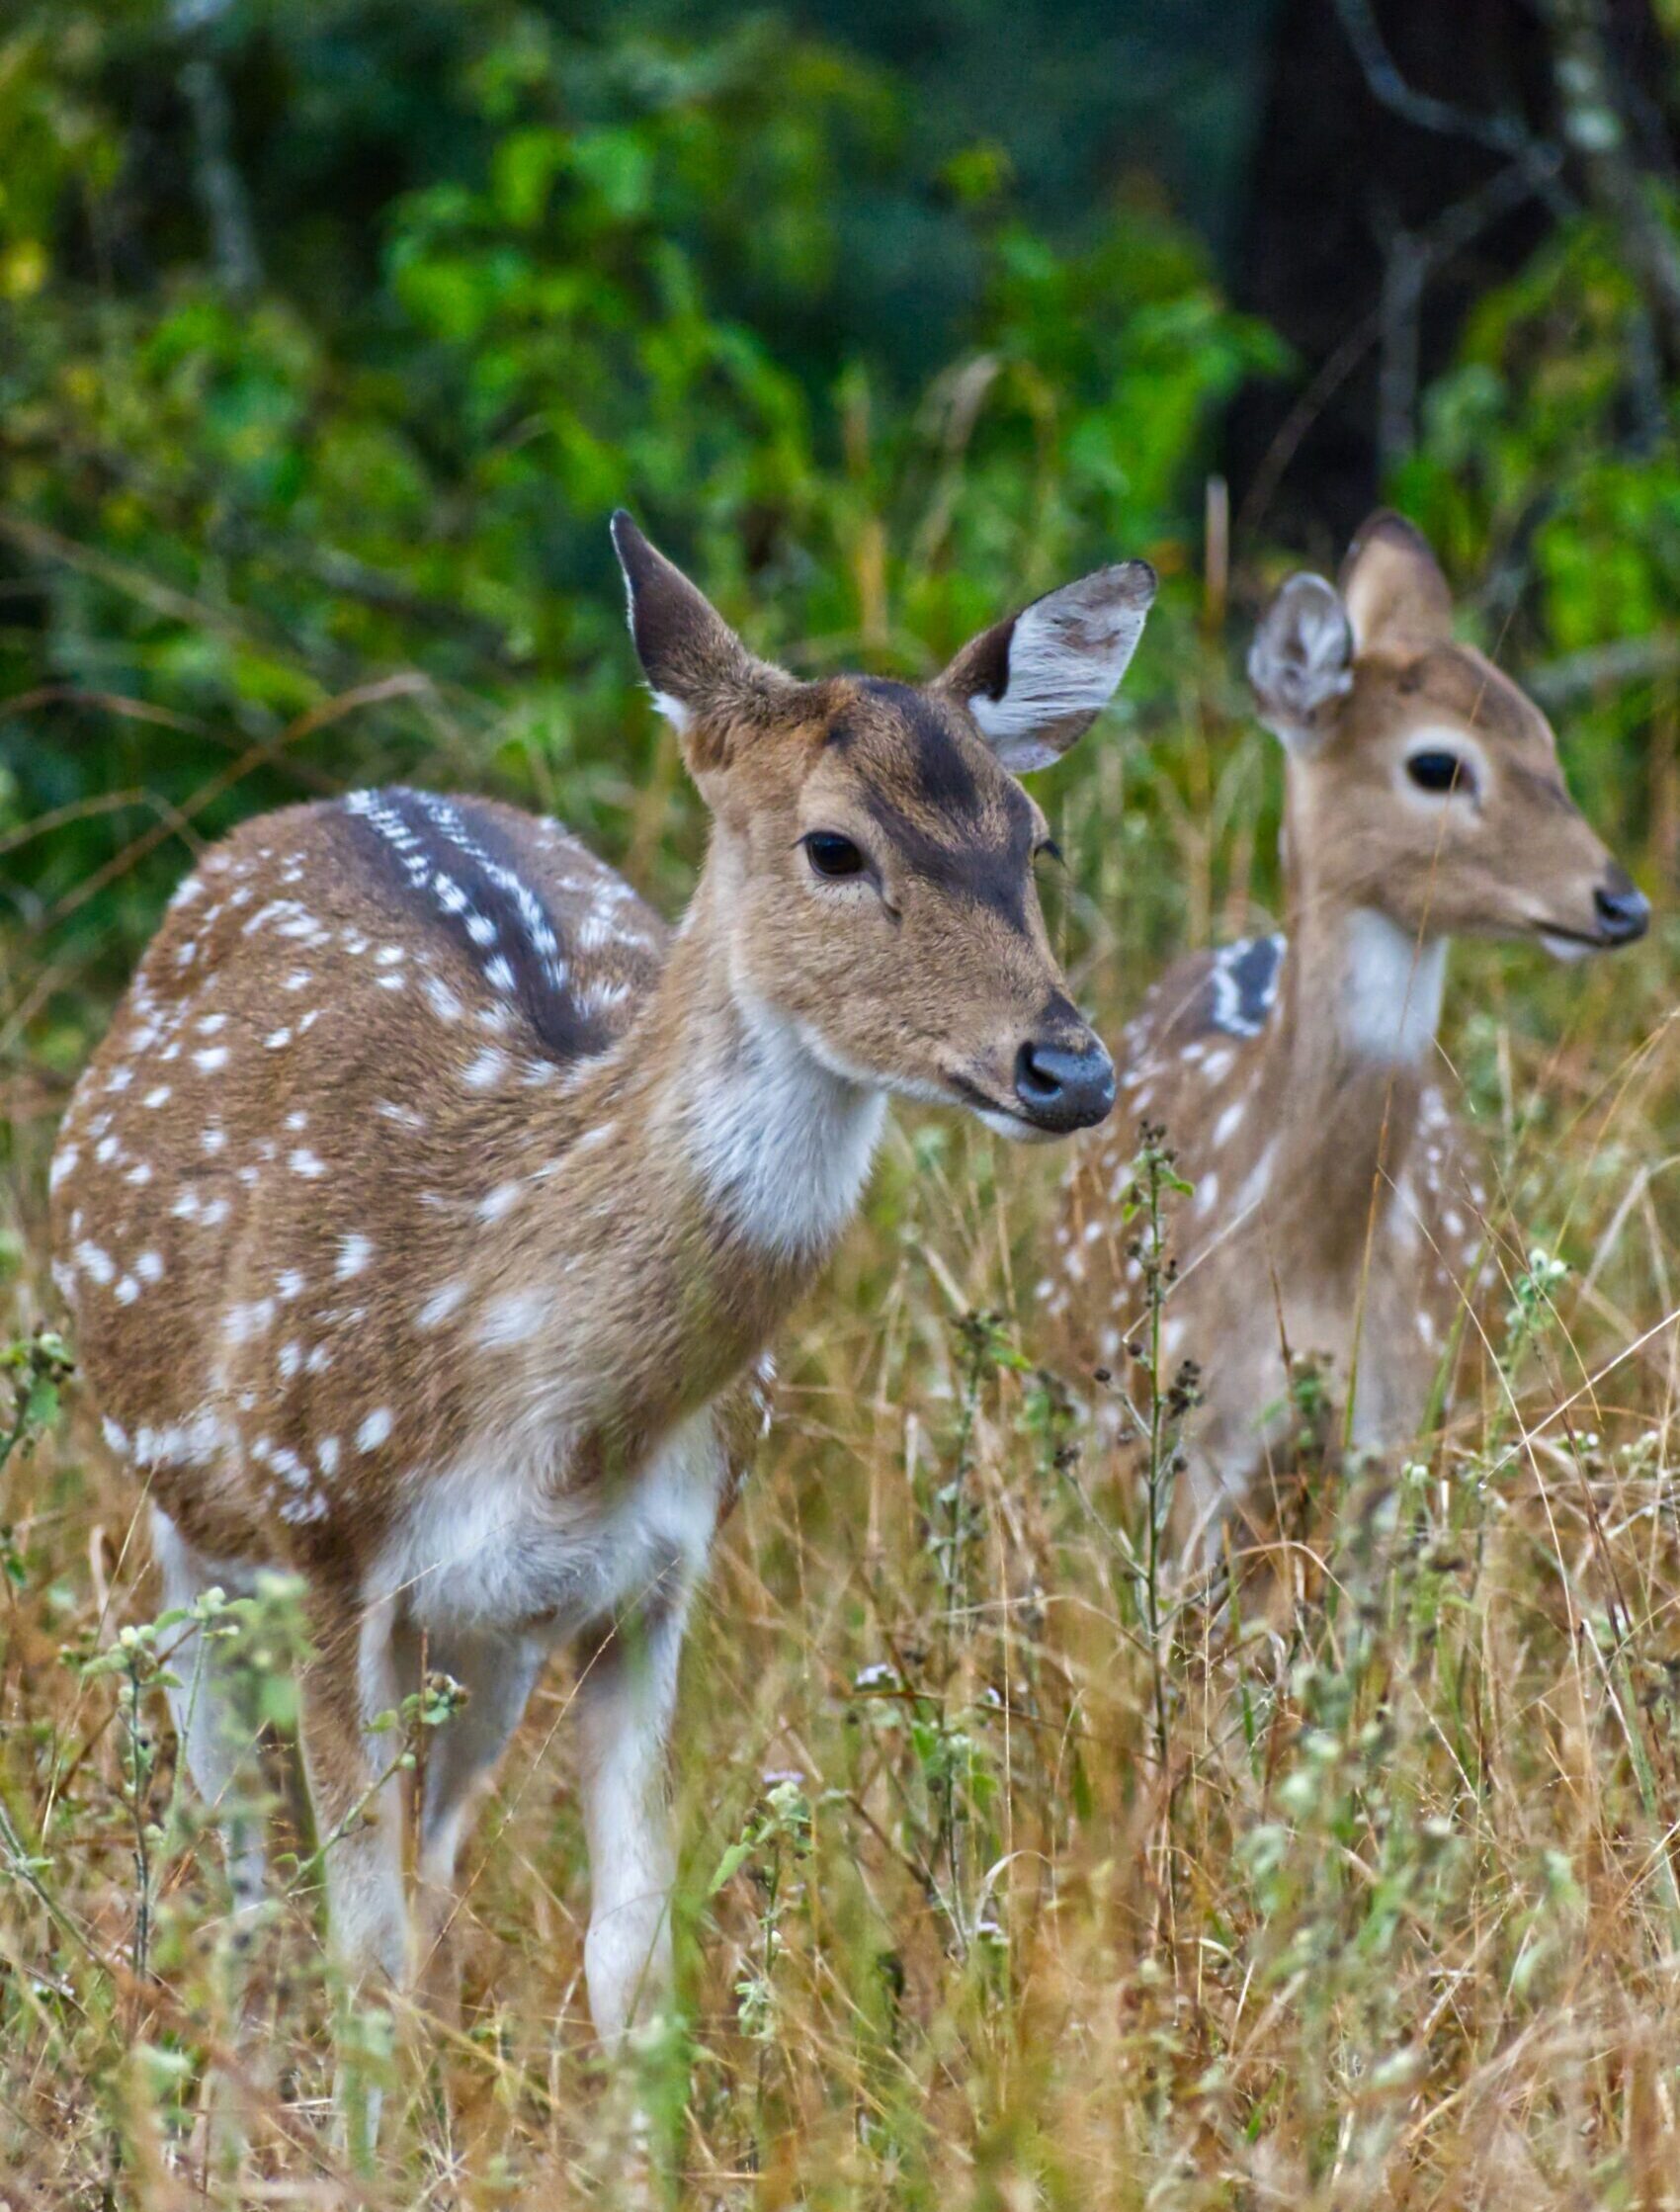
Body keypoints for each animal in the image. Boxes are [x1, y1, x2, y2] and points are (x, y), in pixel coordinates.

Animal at [48, 517, 1158, 2070]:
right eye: (833, 845)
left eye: (1033, 839)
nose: (1067, 1067)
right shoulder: (328, 1538)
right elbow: (360, 1953)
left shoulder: (653, 1573)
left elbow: (627, 1957)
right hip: (191, 1530)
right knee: (245, 1871)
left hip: (483, 1638)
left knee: (431, 1865)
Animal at [1043, 513, 1644, 1557]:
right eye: (1438, 764)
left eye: (1544, 736)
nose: (1621, 902)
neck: (1311, 1265)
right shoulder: (1196, 1434)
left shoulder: (1399, 1420)